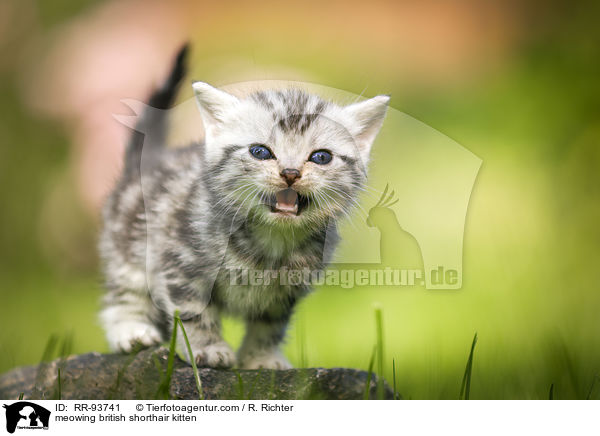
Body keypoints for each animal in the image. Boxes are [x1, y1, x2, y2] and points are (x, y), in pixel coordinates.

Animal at [99, 46, 390, 368]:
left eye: (321, 157)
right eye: (260, 151)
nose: (290, 173)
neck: (270, 241)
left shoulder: (284, 294)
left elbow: (269, 325)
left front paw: (261, 357)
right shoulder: (179, 264)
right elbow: (193, 311)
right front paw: (208, 349)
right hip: (129, 245)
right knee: (124, 293)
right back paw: (132, 331)